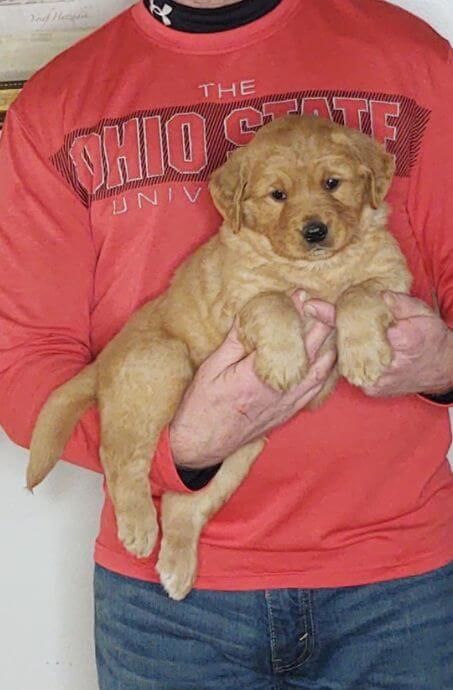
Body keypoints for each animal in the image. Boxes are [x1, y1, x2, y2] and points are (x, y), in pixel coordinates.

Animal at [26, 114, 412, 596]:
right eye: (277, 195)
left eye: (332, 183)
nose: (315, 232)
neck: (317, 269)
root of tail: (104, 359)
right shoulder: (239, 298)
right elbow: (275, 301)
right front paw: (286, 360)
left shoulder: (394, 278)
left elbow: (359, 293)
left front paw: (363, 354)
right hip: (163, 364)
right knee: (119, 456)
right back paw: (138, 527)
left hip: (243, 448)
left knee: (184, 502)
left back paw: (176, 566)